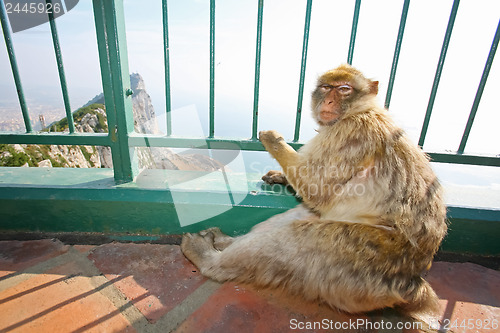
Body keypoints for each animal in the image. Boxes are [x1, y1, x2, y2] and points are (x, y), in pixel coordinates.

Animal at [182, 63, 448, 316]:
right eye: (326, 87)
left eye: (344, 89)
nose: (329, 100)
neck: (361, 110)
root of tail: (412, 281)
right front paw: (280, 176)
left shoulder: (351, 132)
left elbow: (317, 189)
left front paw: (273, 140)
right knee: (298, 219)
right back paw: (224, 241)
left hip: (365, 260)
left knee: (300, 236)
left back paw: (208, 260)